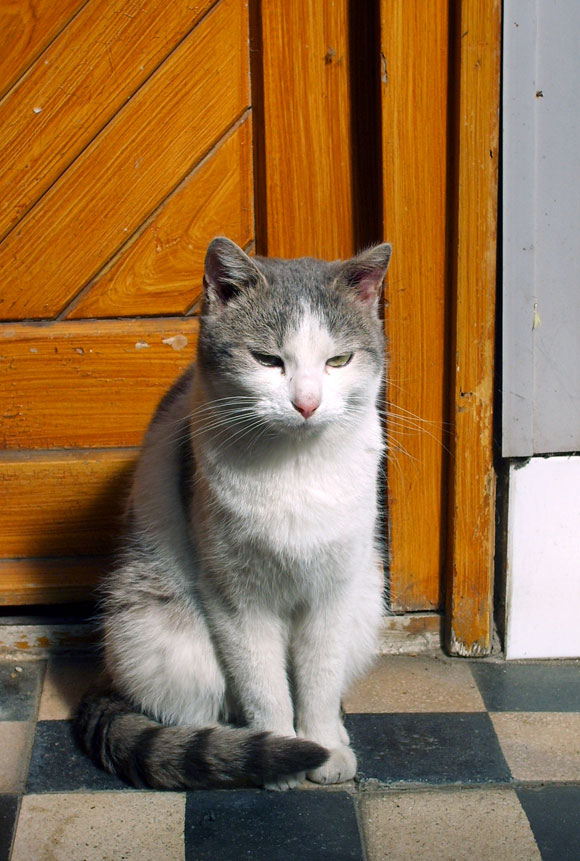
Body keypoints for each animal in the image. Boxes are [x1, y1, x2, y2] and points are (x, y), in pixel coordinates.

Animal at [75, 233, 392, 788]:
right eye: (267, 360)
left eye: (338, 361)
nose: (306, 403)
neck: (294, 469)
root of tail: (107, 676)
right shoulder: (236, 598)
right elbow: (262, 685)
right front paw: (285, 752)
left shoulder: (334, 592)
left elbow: (320, 678)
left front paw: (325, 747)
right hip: (165, 638)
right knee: (197, 710)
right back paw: (235, 745)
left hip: (367, 600)